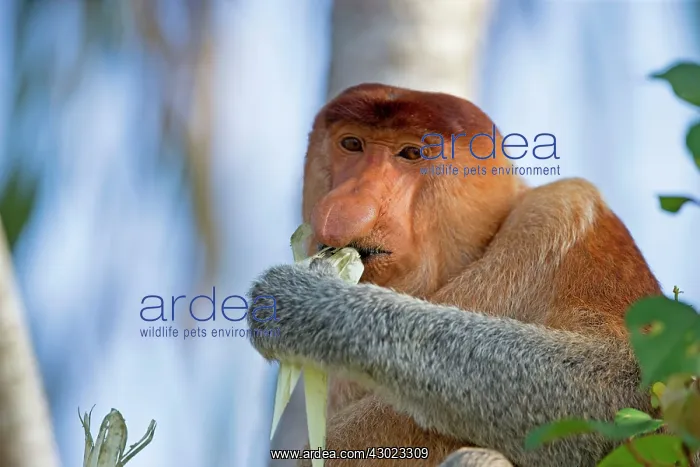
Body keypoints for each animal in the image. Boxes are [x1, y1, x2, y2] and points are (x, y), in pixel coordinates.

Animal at [247, 83, 662, 466]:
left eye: (411, 153)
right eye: (351, 144)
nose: (343, 205)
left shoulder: (565, 213)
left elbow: (625, 380)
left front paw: (306, 304)